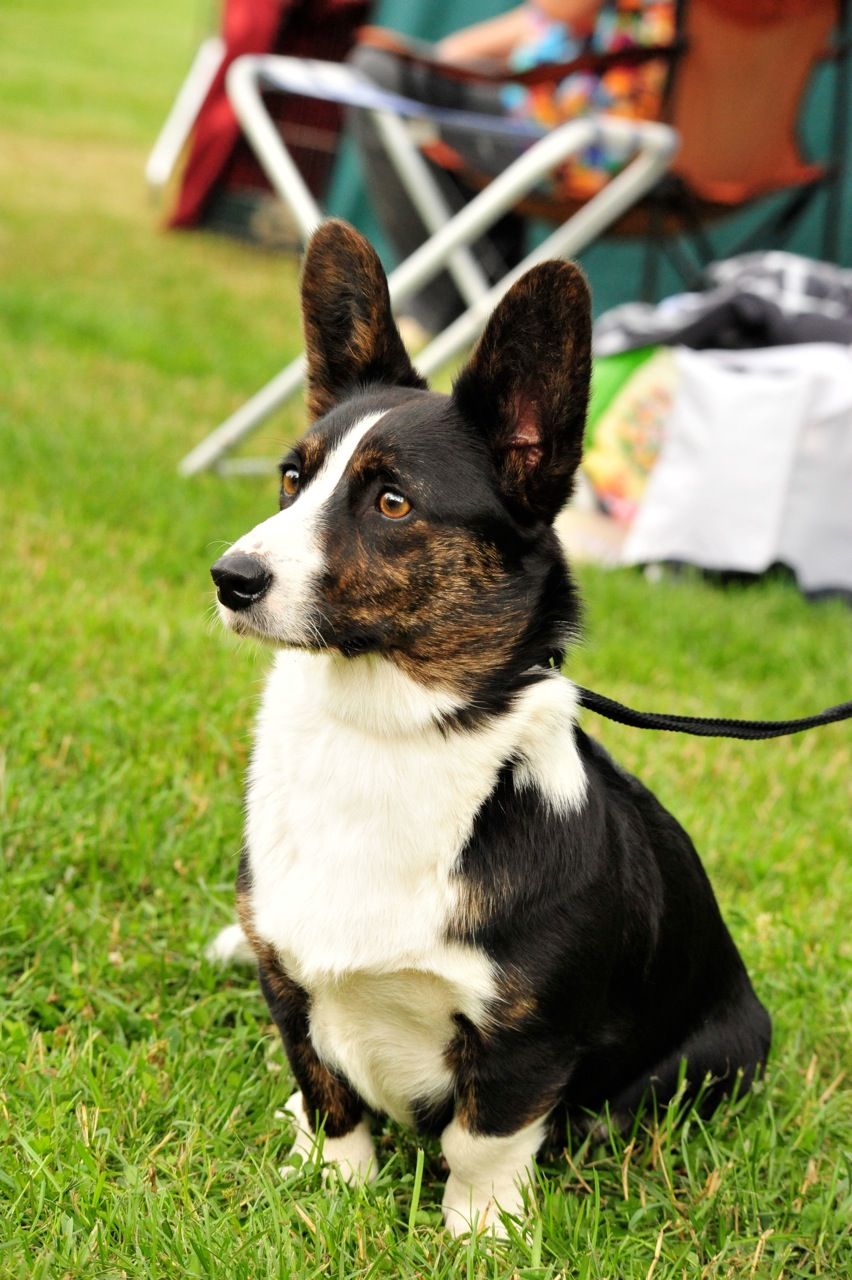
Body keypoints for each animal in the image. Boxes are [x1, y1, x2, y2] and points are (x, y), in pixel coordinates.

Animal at [209, 219, 771, 1236]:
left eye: (392, 502)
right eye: (291, 480)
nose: (230, 579)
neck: (381, 735)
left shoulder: (527, 1035)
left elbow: (484, 1137)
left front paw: (482, 1235)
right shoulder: (289, 980)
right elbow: (327, 1092)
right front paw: (329, 1187)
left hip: (715, 1055)